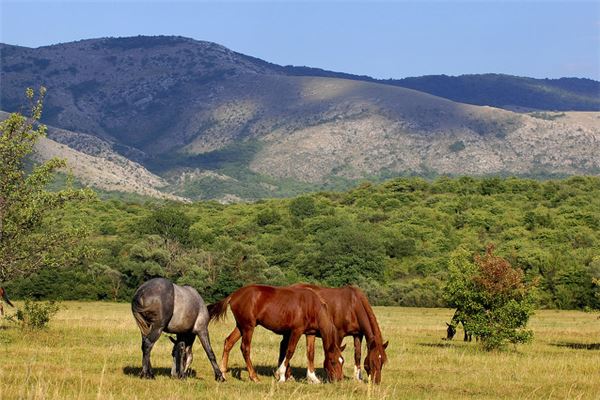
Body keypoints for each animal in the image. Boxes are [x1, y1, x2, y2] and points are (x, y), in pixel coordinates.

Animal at [209, 284, 344, 384]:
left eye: (342, 361)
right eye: (333, 362)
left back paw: (222, 374)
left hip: (241, 327)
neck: (311, 306)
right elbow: (290, 351)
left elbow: (310, 354)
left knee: (228, 342)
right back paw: (254, 377)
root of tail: (233, 295)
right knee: (245, 348)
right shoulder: (296, 331)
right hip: (248, 328)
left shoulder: (310, 333)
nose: (339, 379)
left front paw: (313, 378)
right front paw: (281, 375)